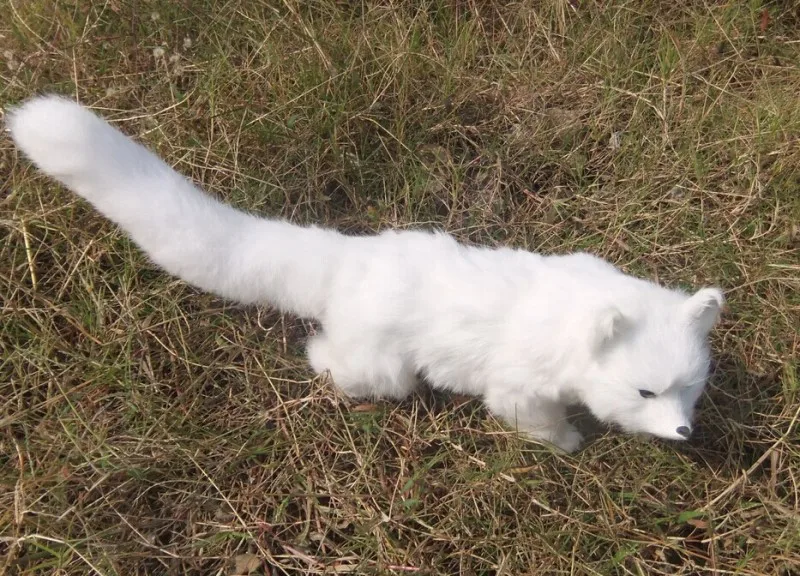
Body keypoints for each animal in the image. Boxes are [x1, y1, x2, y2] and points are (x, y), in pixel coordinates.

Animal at [7, 95, 724, 452]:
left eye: (689, 388)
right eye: (643, 392)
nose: (685, 433)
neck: (574, 311)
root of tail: (348, 256)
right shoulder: (516, 391)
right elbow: (541, 424)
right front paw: (570, 444)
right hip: (379, 367)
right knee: (327, 356)